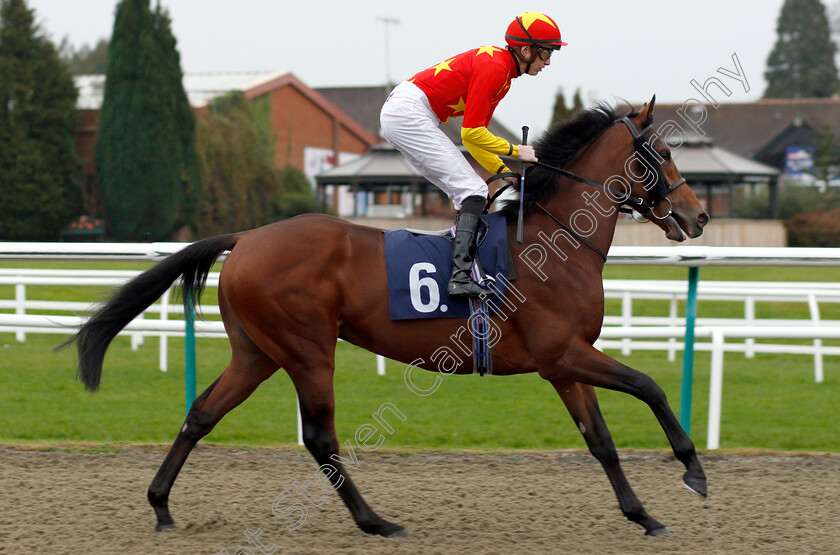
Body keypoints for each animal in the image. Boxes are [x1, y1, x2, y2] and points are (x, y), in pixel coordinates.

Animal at [64, 96, 708, 540]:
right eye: (663, 153)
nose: (697, 215)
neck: (559, 242)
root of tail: (245, 237)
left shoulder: (564, 364)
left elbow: (601, 441)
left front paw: (644, 515)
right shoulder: (563, 353)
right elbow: (649, 386)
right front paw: (692, 471)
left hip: (257, 353)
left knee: (201, 413)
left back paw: (161, 504)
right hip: (307, 349)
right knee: (320, 436)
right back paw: (376, 521)